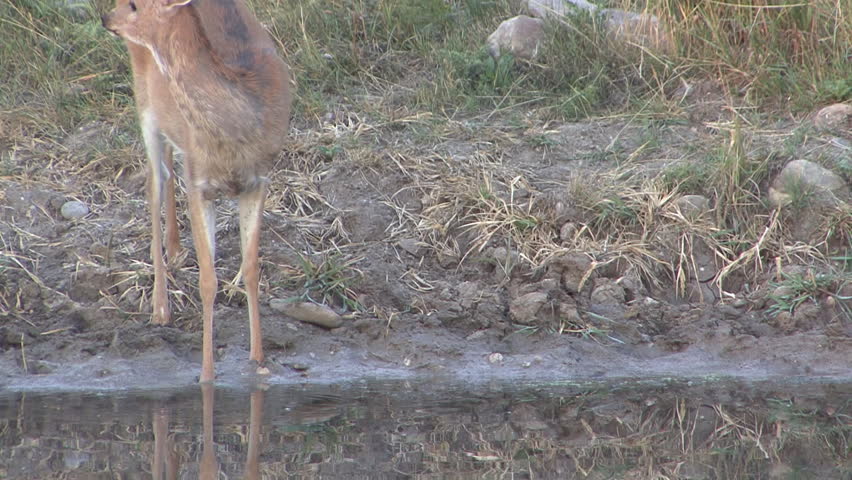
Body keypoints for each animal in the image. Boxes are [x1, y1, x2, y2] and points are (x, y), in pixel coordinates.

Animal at [102, 0, 292, 382]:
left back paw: (176, 251)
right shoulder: (199, 185)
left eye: (134, 4)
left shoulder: (258, 181)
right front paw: (206, 374)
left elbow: (252, 268)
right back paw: (160, 308)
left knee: (167, 171)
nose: (106, 16)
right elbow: (207, 280)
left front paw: (258, 360)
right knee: (155, 184)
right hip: (145, 105)